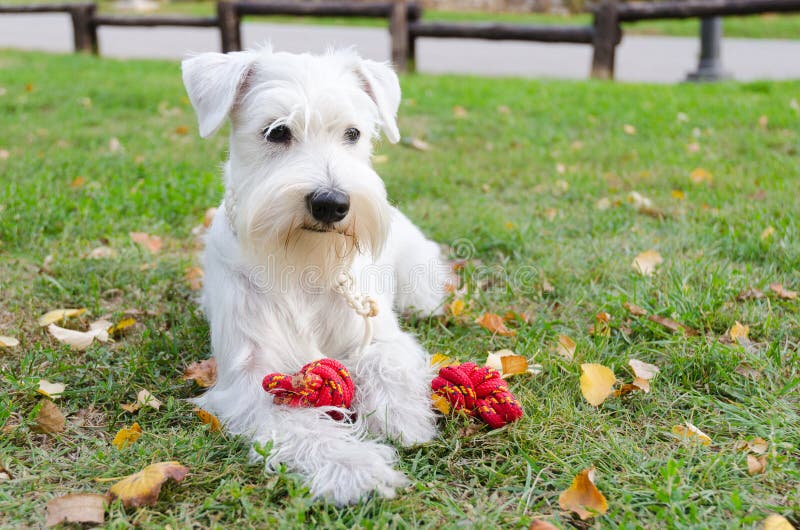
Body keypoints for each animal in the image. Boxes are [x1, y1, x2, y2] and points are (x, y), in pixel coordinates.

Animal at [184, 46, 454, 504]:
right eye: (276, 132)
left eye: (353, 133)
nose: (332, 203)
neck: (304, 263)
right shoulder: (252, 375)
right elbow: (299, 424)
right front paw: (354, 466)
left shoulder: (376, 332)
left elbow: (387, 363)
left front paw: (401, 417)